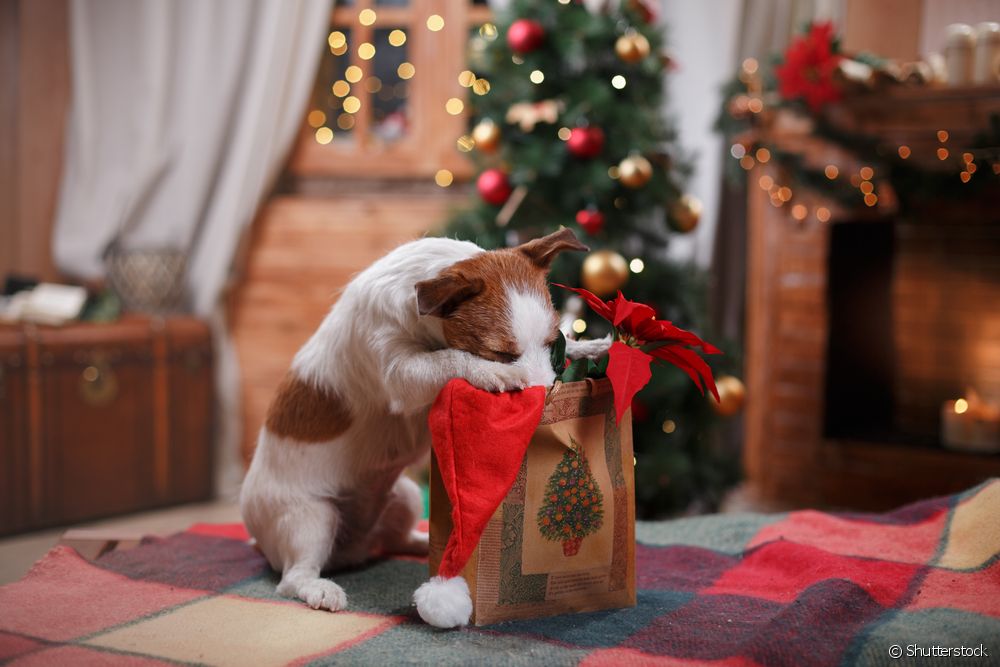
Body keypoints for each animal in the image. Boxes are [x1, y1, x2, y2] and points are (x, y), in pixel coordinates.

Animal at [240, 230, 608, 628]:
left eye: (552, 342)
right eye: (501, 354)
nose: (547, 401)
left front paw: (591, 346)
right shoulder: (400, 372)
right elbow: (449, 358)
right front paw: (497, 374)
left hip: (405, 497)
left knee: (392, 539)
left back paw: (420, 543)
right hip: (311, 518)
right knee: (293, 577)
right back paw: (321, 589)